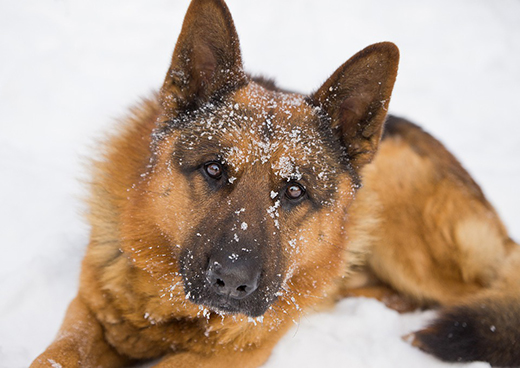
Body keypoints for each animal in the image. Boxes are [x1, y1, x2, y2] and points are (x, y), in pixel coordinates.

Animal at [31, 0, 520, 368]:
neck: (173, 308)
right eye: (214, 169)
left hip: (407, 236)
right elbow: (53, 356)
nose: (231, 283)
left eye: (294, 191)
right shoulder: (87, 317)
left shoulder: (227, 355)